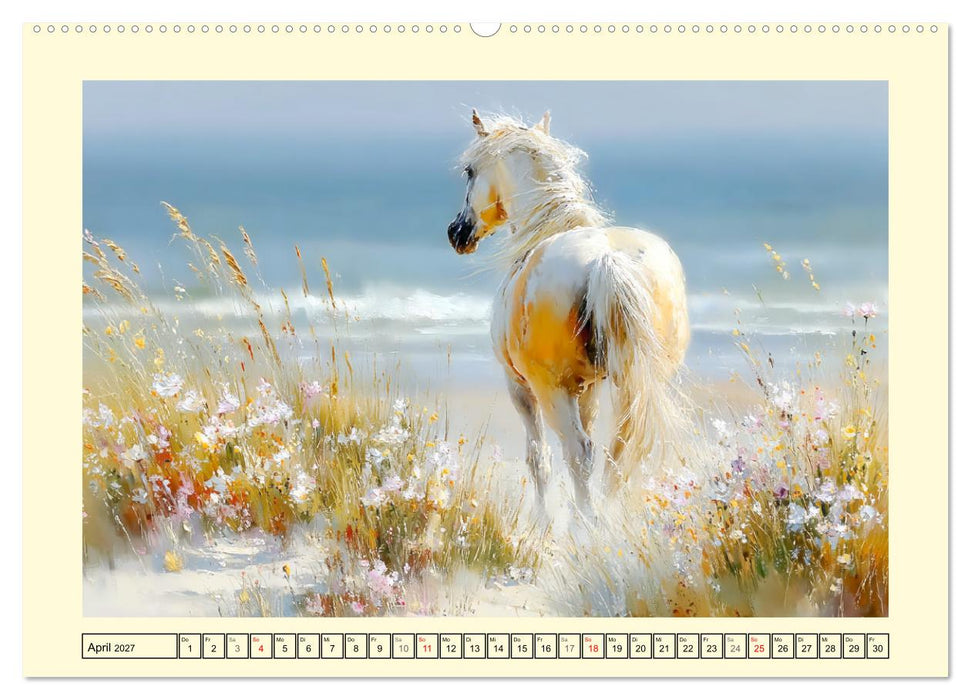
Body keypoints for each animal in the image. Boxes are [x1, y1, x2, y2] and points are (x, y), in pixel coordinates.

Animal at [447, 110, 690, 518]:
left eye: (469, 171)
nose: (457, 232)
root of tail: (606, 260)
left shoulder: (521, 387)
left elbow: (538, 459)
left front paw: (544, 521)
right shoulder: (589, 386)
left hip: (552, 389)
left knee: (579, 452)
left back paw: (586, 523)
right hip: (639, 380)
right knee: (620, 451)